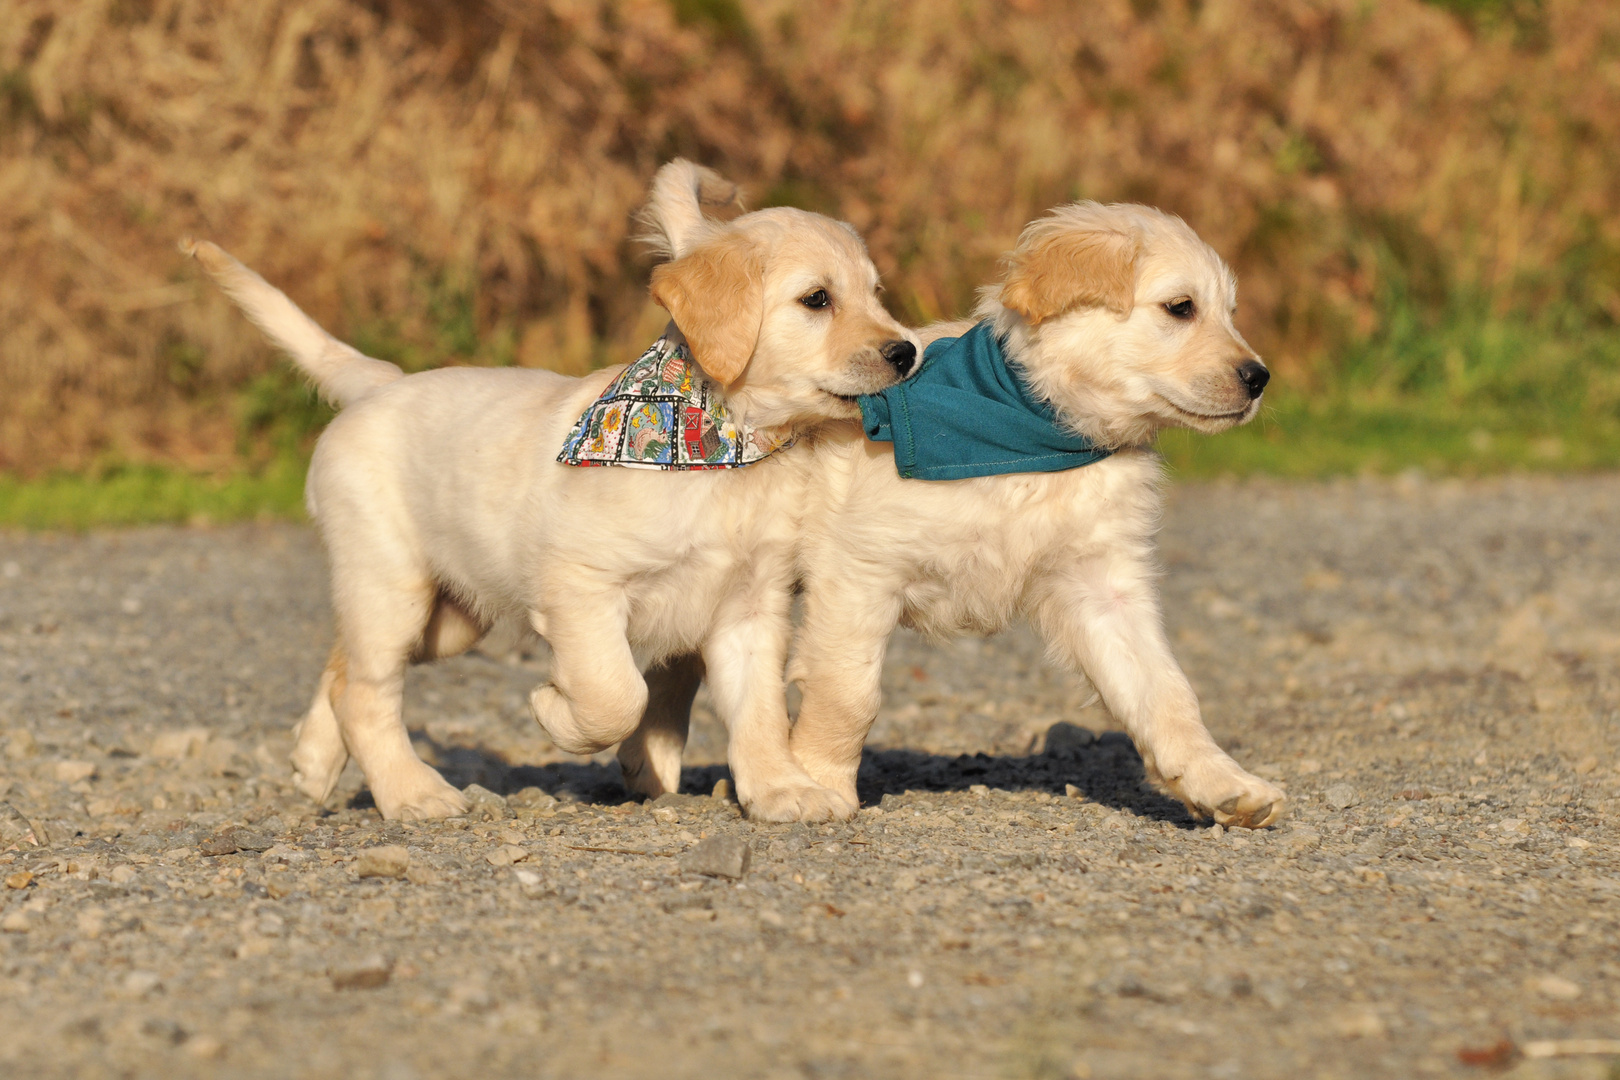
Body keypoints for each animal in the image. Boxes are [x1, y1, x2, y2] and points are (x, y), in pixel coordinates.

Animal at [186, 158, 926, 819]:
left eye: (877, 293)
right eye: (816, 299)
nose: (906, 353)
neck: (722, 444)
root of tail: (380, 382)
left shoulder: (752, 607)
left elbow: (761, 711)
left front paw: (781, 789)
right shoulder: (581, 590)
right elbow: (615, 694)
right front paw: (554, 713)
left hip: (449, 618)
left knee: (342, 669)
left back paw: (314, 761)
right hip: (389, 583)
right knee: (366, 692)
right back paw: (413, 794)